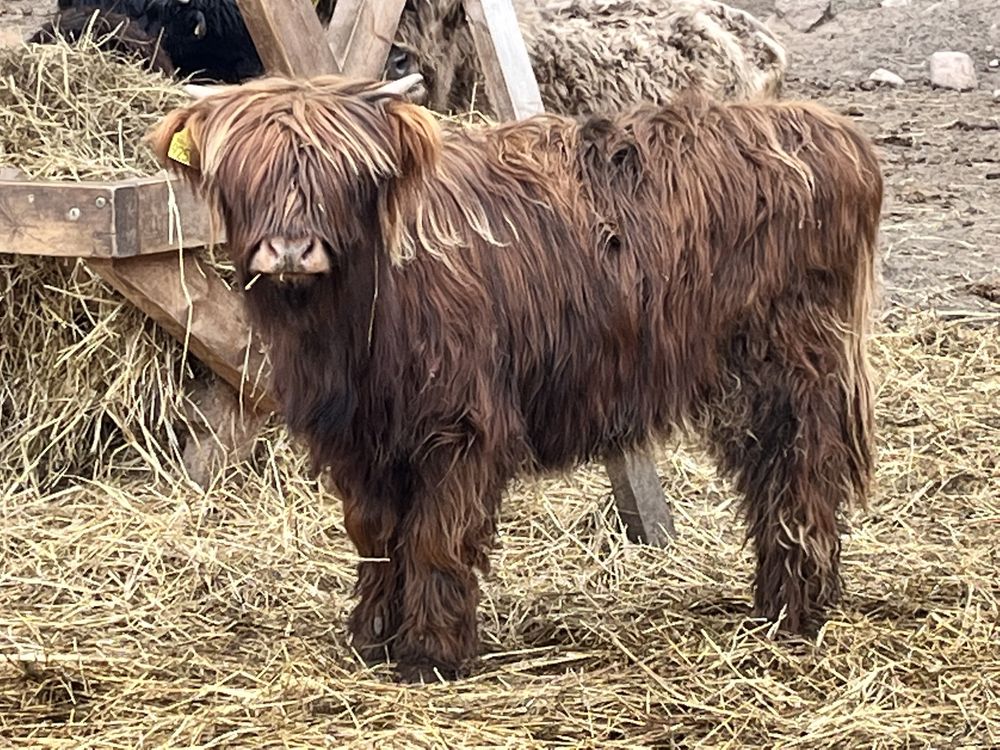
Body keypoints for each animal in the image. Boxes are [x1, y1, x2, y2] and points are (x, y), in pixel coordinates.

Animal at [148, 75, 884, 680]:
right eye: (245, 172)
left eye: (342, 173)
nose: (292, 248)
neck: (350, 322)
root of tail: (826, 129)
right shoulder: (356, 437)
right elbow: (375, 535)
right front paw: (372, 637)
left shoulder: (460, 426)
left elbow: (434, 536)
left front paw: (430, 654)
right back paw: (775, 605)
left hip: (790, 369)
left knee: (800, 475)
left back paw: (795, 613)